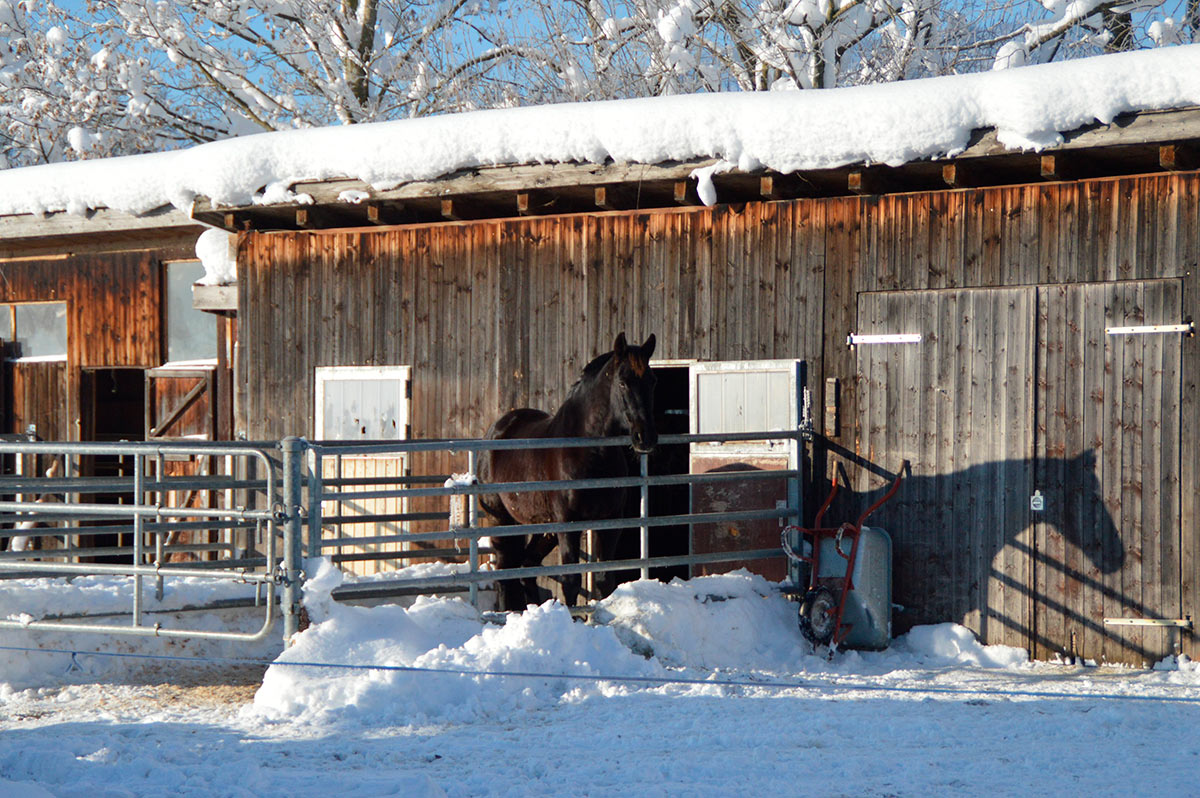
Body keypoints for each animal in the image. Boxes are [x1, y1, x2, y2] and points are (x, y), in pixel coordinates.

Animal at [475, 328, 657, 609]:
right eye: (623, 382)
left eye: (652, 381)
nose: (644, 437)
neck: (589, 453)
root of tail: (497, 429)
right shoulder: (569, 525)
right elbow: (570, 581)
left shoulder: (611, 523)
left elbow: (604, 580)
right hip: (501, 520)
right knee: (505, 574)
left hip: (543, 528)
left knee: (526, 567)